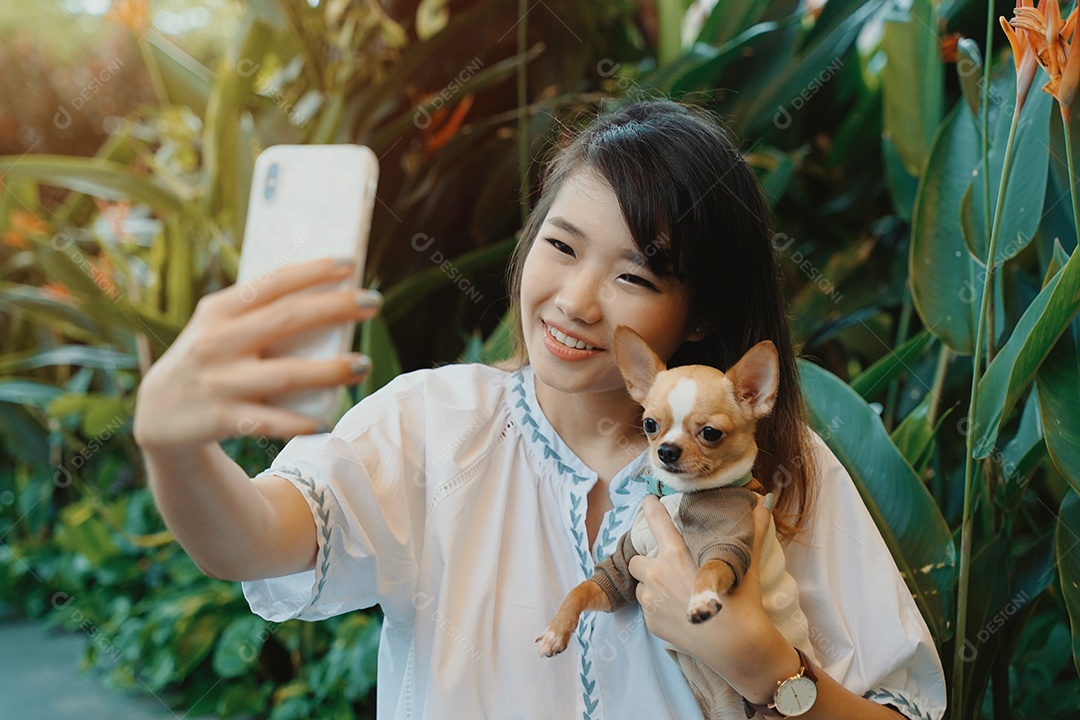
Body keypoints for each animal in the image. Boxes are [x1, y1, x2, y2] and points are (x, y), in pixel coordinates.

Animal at [535, 328, 812, 720]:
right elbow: (583, 589)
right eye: (650, 425)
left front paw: (700, 599)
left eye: (710, 433)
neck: (680, 495)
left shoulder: (728, 540)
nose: (666, 450)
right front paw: (555, 631)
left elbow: (711, 566)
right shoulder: (623, 569)